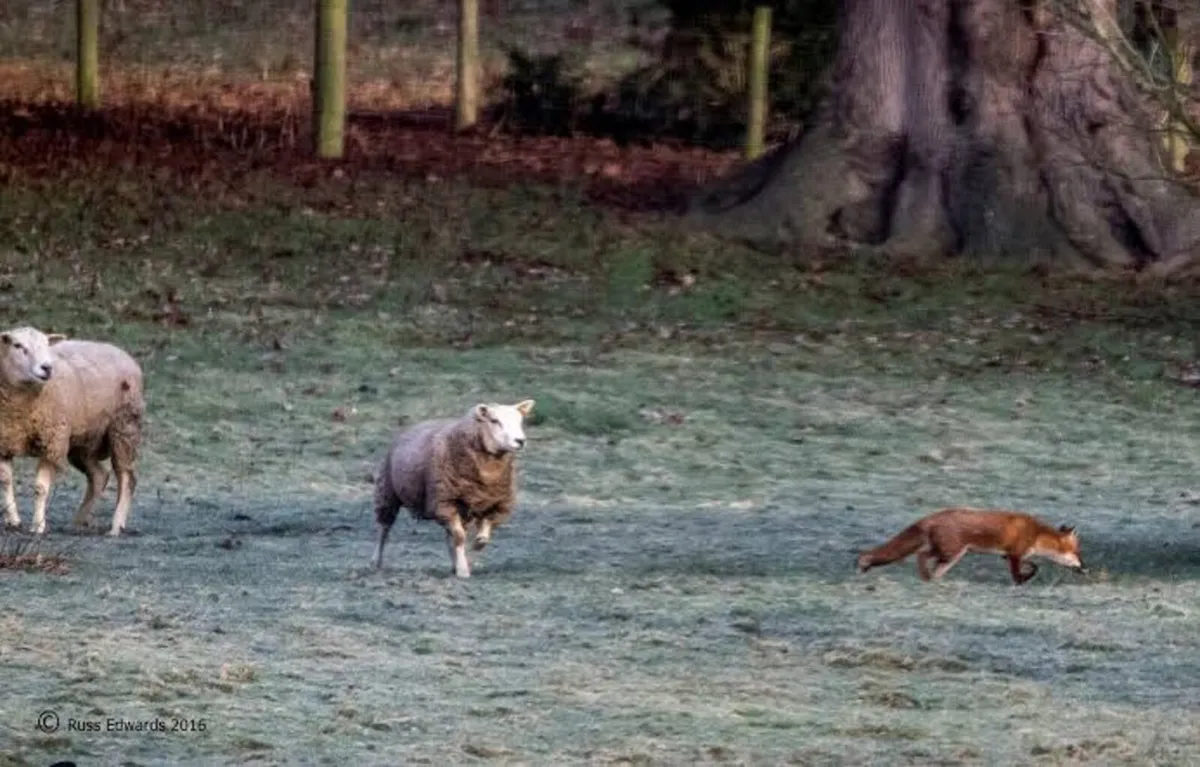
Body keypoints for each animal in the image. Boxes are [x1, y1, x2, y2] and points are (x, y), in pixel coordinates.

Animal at [857, 507, 1087, 585]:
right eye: (1078, 554)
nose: (1085, 569)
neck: (1038, 534)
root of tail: (933, 516)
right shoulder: (1014, 555)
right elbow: (1021, 572)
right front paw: (1021, 582)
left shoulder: (1009, 555)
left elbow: (1034, 566)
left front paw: (1027, 577)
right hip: (952, 552)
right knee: (921, 555)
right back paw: (927, 578)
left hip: (949, 555)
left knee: (927, 559)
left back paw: (932, 580)